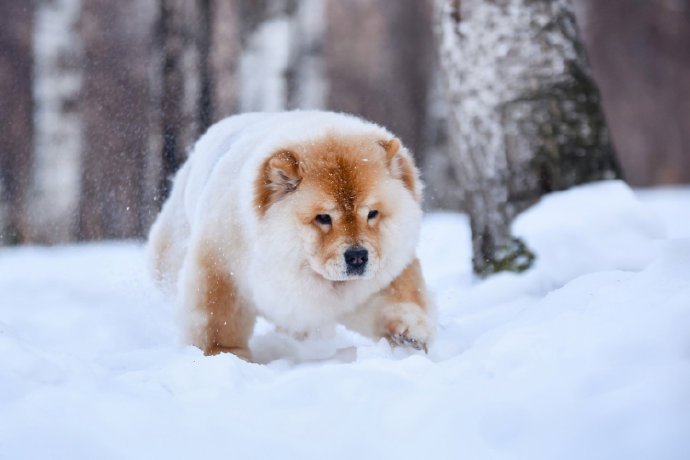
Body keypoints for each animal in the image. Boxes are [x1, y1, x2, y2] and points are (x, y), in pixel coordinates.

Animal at [148, 110, 432, 360]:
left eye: (372, 214)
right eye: (323, 218)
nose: (357, 256)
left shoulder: (385, 272)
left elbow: (399, 297)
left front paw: (409, 330)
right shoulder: (221, 264)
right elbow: (217, 317)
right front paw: (224, 355)